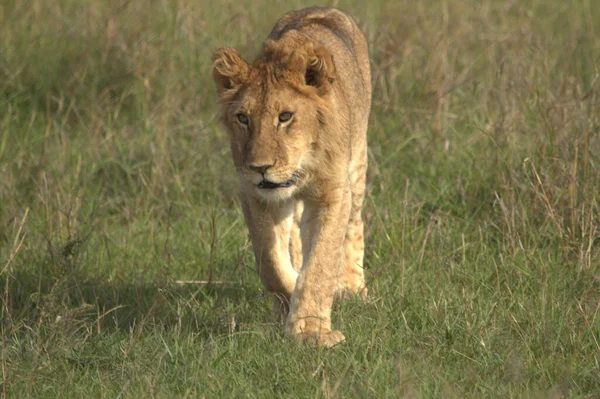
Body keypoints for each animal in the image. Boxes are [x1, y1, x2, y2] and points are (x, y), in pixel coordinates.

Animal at [211, 7, 370, 348]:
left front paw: (311, 331)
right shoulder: (254, 194)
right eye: (242, 118)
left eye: (285, 117)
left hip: (358, 162)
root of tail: (323, 9)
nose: (260, 167)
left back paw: (352, 287)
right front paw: (288, 302)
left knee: (354, 224)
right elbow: (270, 261)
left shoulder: (331, 194)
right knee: (292, 237)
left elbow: (321, 263)